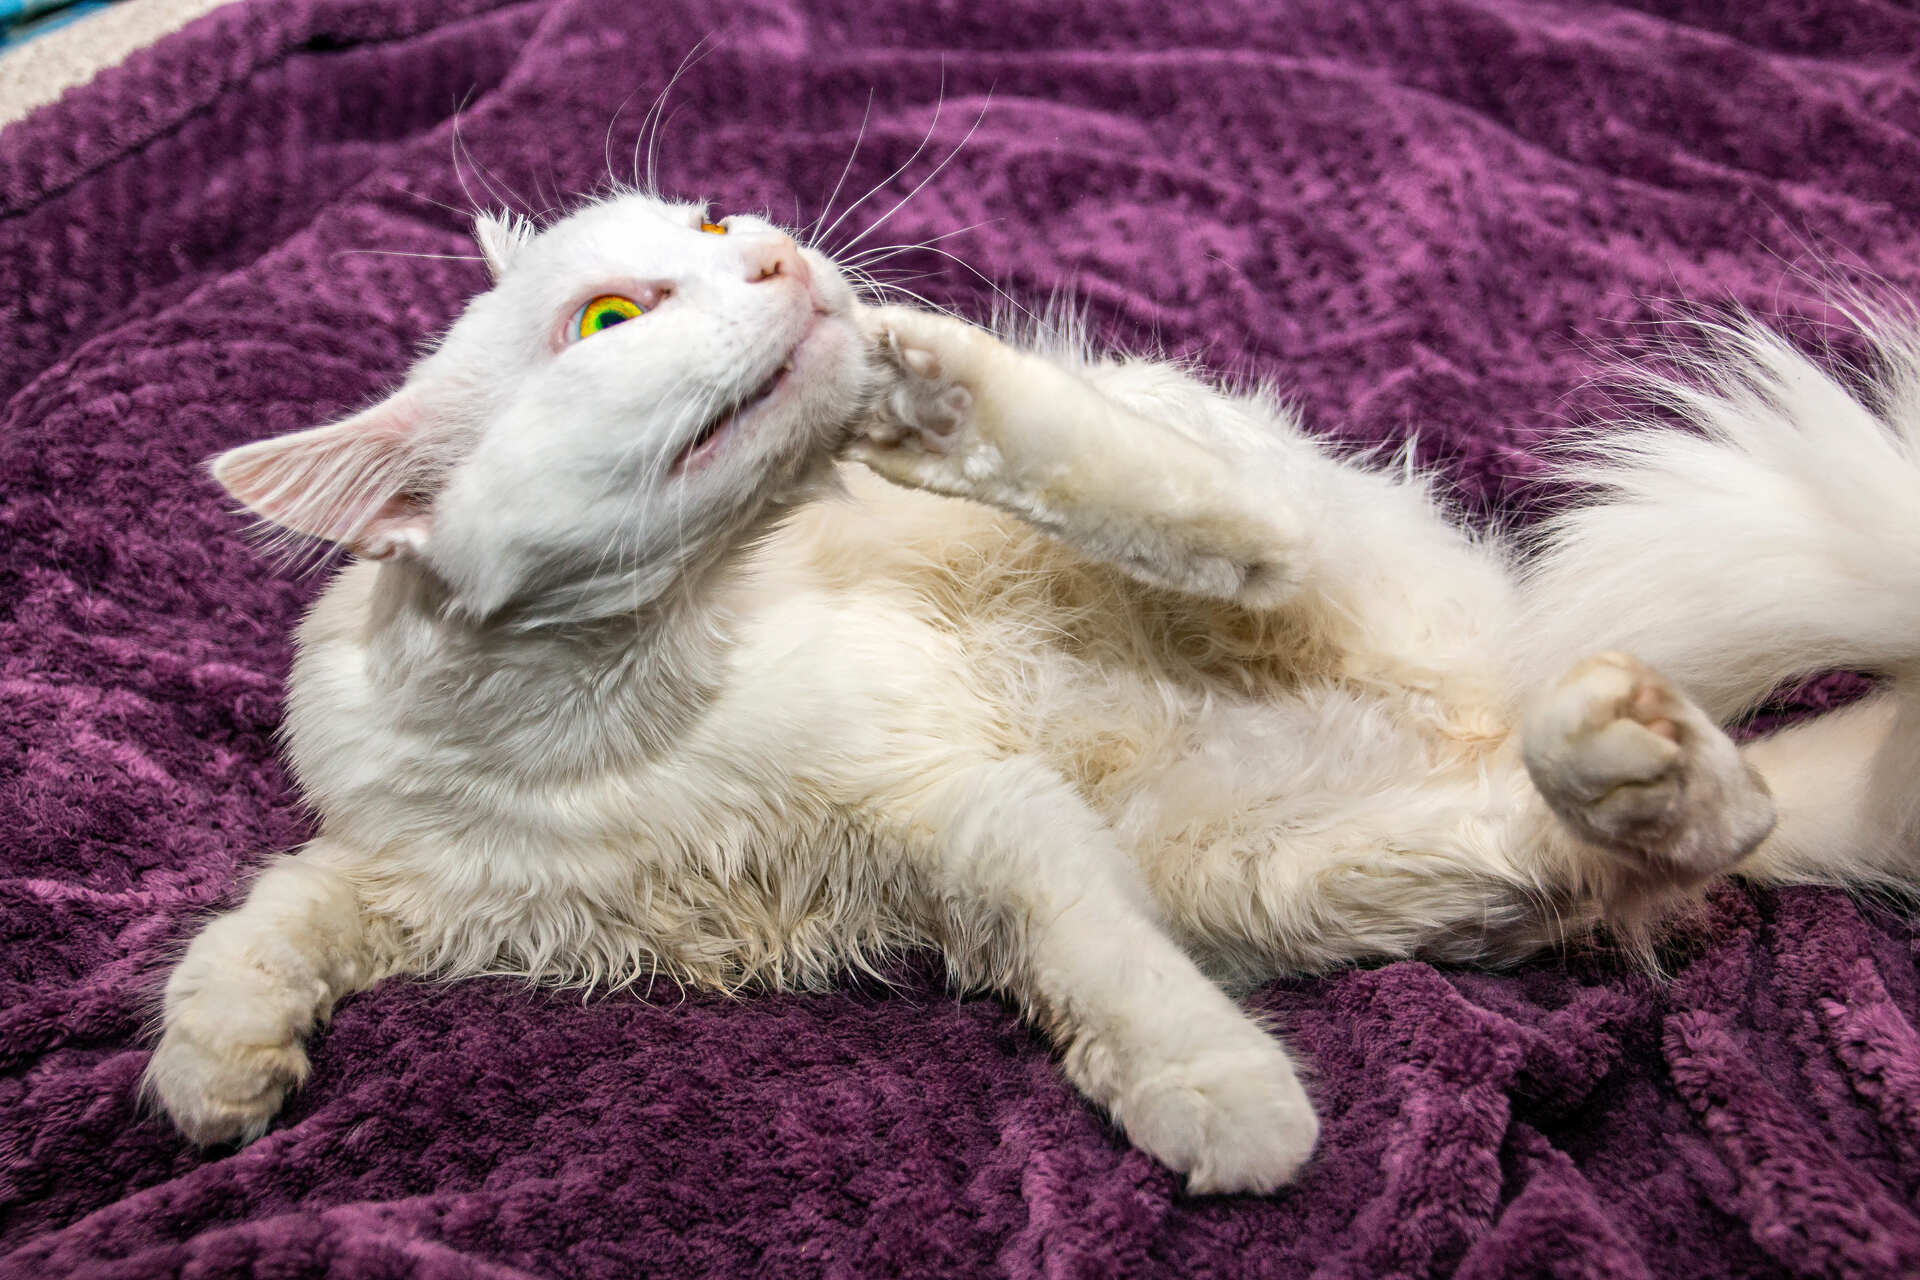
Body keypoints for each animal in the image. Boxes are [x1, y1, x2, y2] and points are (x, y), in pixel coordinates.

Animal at [145, 195, 1920, 1197]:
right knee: (1685, 828)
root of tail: (1518, 677)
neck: (608, 718)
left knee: (1227, 522)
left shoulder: (965, 802)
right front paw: (216, 1077)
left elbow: (1097, 967)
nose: (781, 252)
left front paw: (1224, 1106)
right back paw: (1627, 765)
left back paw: (930, 385)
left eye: (708, 233)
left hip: (1258, 549)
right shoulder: (436, 878)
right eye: (607, 320)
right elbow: (255, 929)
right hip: (1339, 875)